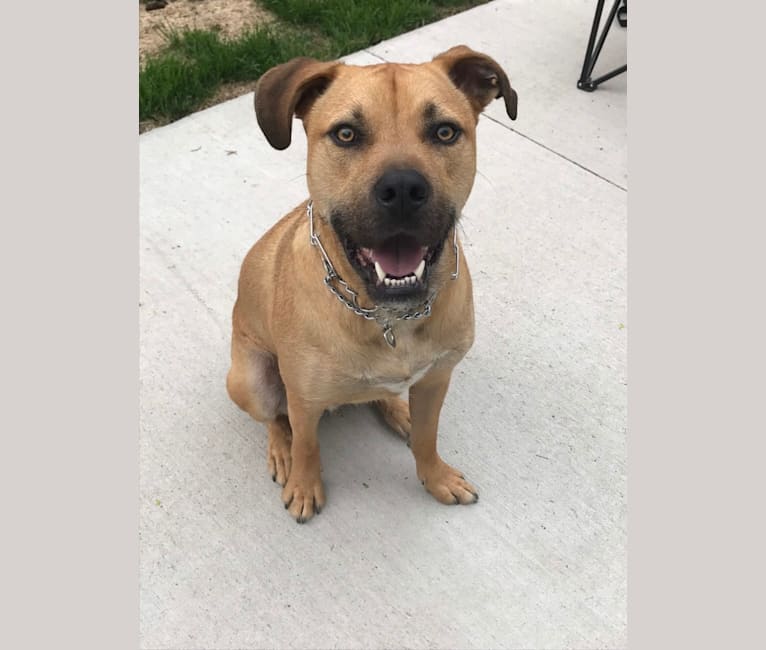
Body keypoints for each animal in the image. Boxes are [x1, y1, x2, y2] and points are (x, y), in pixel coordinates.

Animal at [226, 45, 516, 520]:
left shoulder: (437, 380)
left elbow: (427, 437)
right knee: (275, 419)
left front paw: (435, 477)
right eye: (346, 134)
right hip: (249, 379)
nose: (402, 190)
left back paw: (397, 408)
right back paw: (282, 450)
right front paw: (304, 484)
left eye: (444, 131)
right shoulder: (303, 398)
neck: (387, 316)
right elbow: (307, 444)